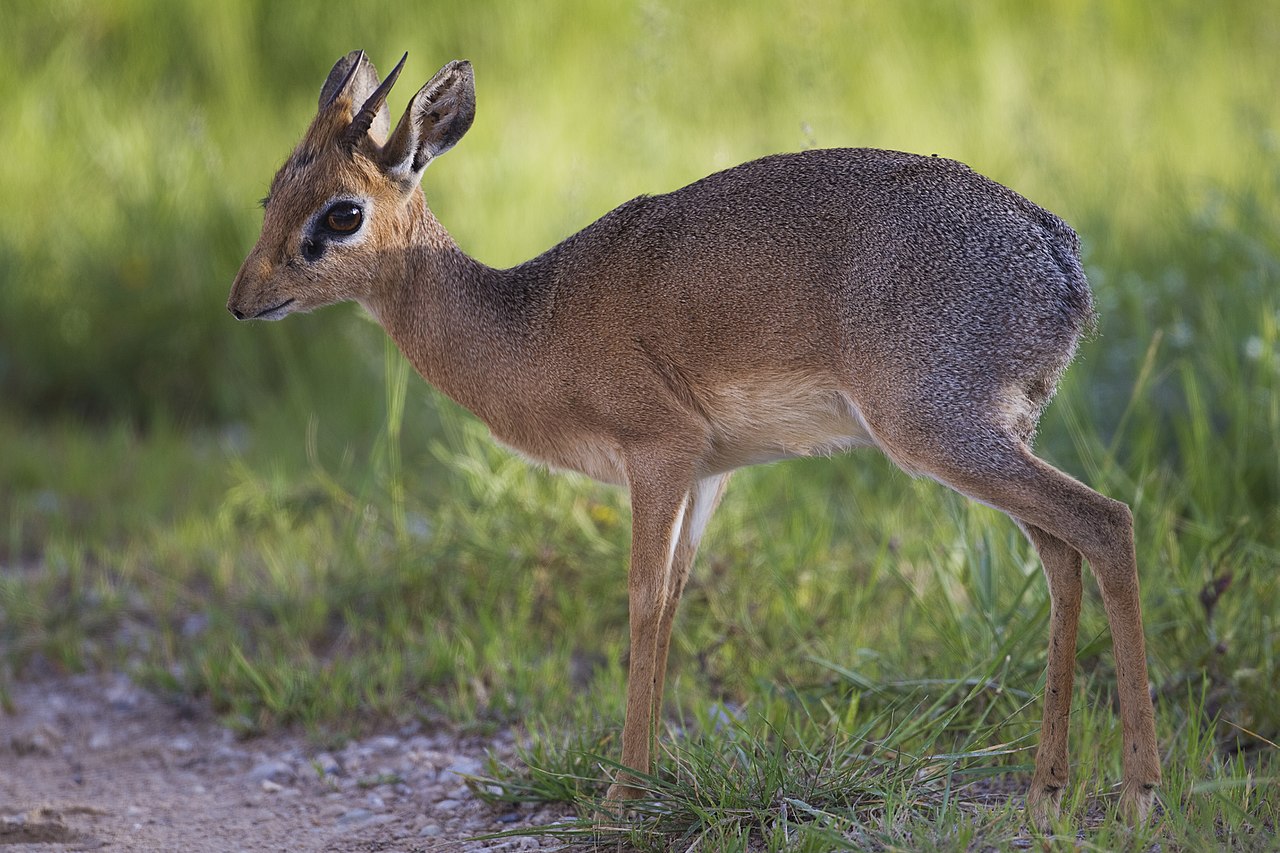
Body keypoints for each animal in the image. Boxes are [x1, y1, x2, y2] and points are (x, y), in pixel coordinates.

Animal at [227, 51, 1162, 819]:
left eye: (341, 214)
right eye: (272, 191)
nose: (243, 300)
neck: (530, 321)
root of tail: (1059, 252)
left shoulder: (658, 453)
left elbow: (642, 599)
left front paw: (621, 794)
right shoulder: (711, 471)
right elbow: (675, 597)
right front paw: (645, 779)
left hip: (941, 432)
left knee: (1107, 521)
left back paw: (1138, 795)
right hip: (994, 435)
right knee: (1062, 552)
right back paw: (1045, 793)